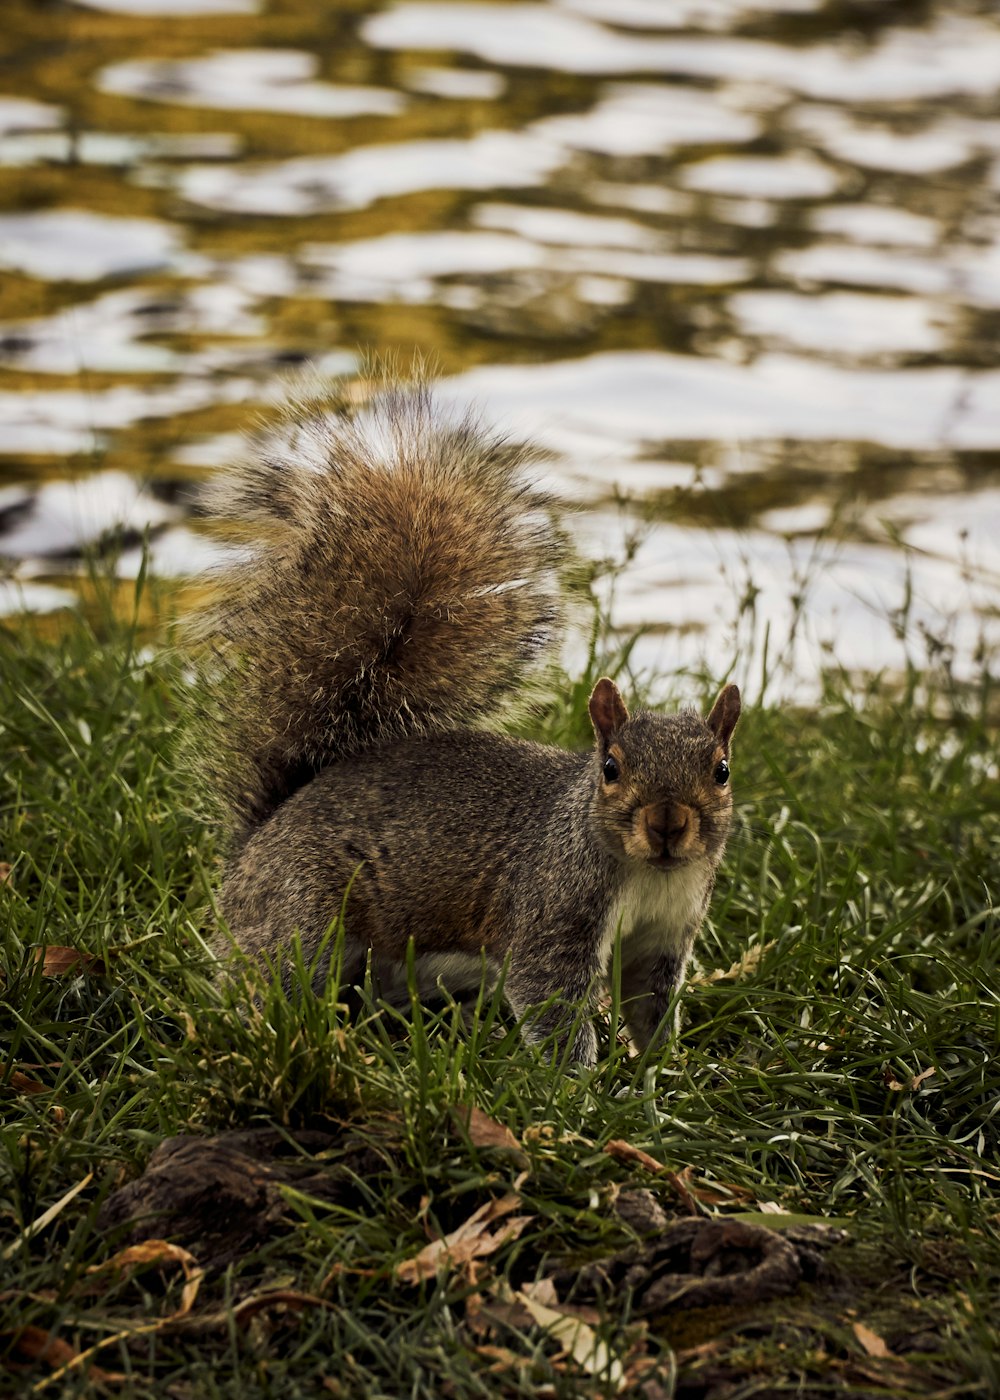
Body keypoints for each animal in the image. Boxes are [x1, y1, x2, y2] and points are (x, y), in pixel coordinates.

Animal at [196, 366, 739, 1064]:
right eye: (611, 767)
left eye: (721, 770)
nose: (668, 823)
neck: (648, 874)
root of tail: (253, 846)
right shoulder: (551, 917)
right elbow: (552, 1004)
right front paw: (581, 1084)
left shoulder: (665, 937)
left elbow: (652, 1009)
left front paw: (662, 1075)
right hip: (305, 918)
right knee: (274, 982)